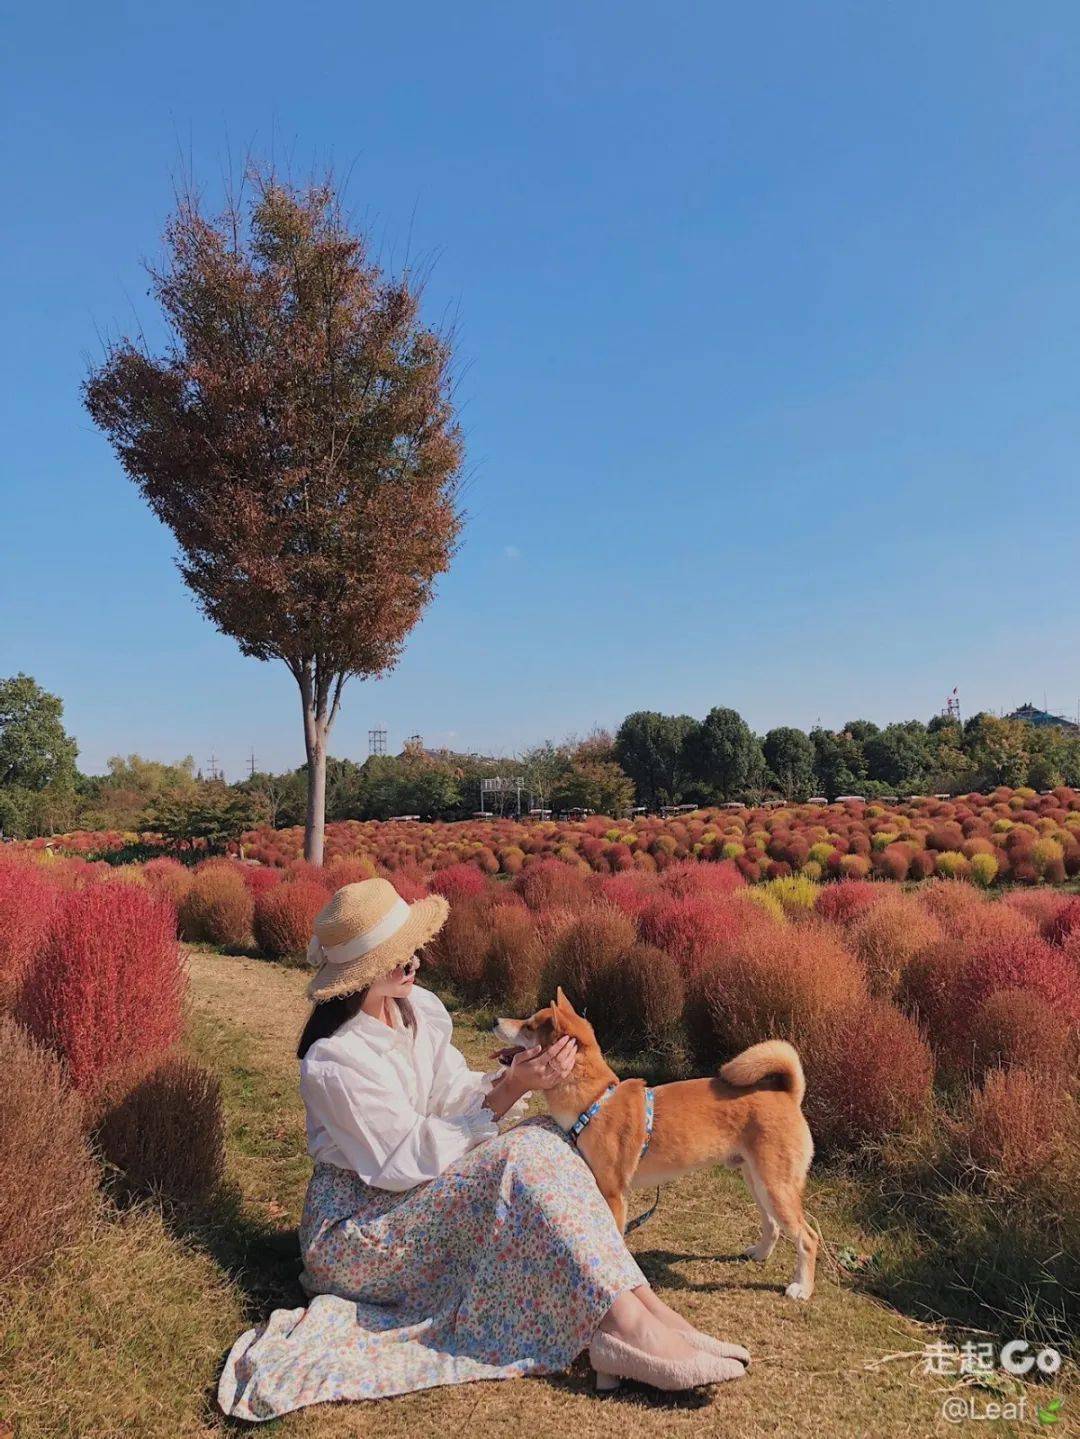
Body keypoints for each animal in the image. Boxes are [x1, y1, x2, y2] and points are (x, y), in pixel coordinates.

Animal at [494, 990, 816, 1306]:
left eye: (529, 1026)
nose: (496, 1020)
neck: (594, 1101)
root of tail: (787, 1094)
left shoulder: (614, 1194)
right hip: (757, 1182)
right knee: (773, 1225)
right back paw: (760, 1254)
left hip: (775, 1187)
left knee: (808, 1238)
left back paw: (801, 1287)